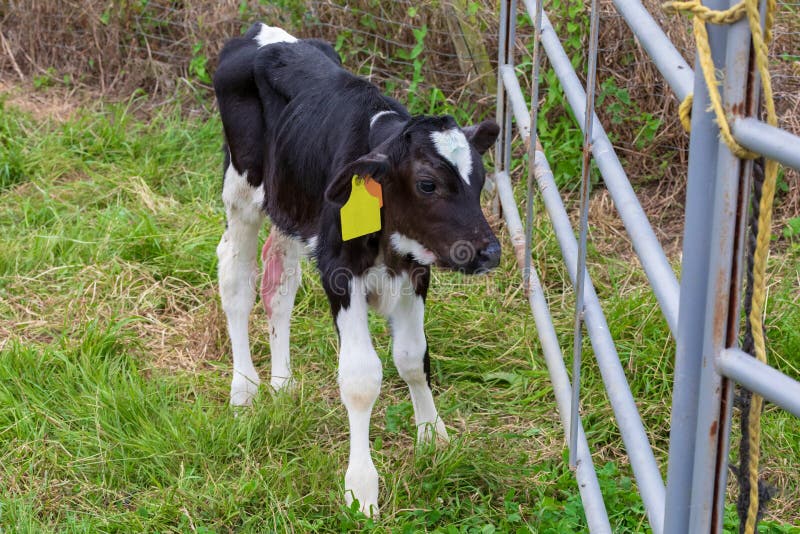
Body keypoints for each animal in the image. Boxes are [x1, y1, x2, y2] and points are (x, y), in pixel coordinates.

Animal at [213, 22, 501, 516]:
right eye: (427, 184)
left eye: (479, 179)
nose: (488, 251)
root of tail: (260, 30)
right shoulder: (339, 271)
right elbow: (362, 378)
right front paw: (361, 488)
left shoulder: (415, 271)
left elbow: (413, 358)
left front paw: (433, 438)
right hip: (242, 189)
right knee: (236, 280)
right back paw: (245, 390)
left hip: (291, 206)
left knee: (278, 286)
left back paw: (283, 385)